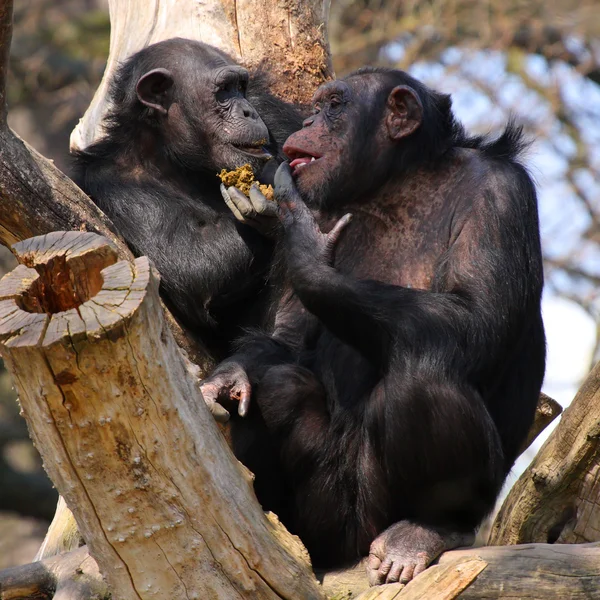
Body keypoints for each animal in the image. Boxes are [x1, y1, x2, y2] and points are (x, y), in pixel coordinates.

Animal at [72, 39, 302, 358]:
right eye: (223, 91)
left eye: (240, 87)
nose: (248, 111)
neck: (172, 157)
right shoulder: (109, 184)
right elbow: (193, 262)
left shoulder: (269, 107)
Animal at [200, 67, 544, 584]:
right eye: (316, 106)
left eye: (334, 105)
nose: (308, 120)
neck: (396, 183)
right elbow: (287, 337)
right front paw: (228, 374)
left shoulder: (501, 194)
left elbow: (478, 316)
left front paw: (307, 250)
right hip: (335, 519)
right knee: (280, 385)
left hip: (401, 509)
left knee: (422, 377)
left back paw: (423, 531)